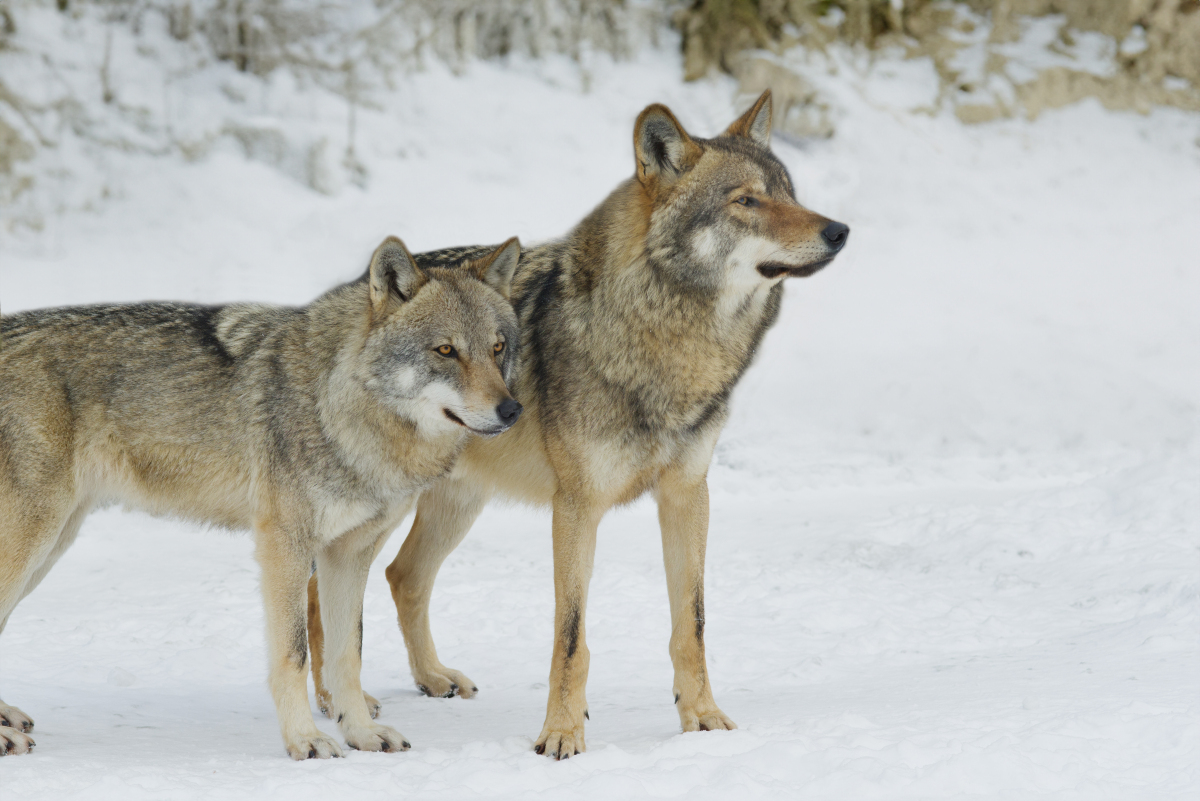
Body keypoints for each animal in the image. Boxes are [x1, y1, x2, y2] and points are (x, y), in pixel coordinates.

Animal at [1, 236, 525, 757]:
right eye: (446, 350)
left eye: (498, 348)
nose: (513, 410)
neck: (336, 404)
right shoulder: (285, 547)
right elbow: (295, 652)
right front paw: (306, 741)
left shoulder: (349, 552)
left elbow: (346, 654)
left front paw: (361, 734)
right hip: (33, 543)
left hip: (50, 547)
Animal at [309, 89, 854, 757]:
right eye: (746, 200)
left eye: (789, 192)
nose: (839, 230)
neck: (668, 344)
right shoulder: (577, 505)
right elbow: (571, 636)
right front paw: (562, 734)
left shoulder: (687, 494)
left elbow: (692, 623)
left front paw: (701, 718)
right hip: (381, 507)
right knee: (322, 595)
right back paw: (336, 701)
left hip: (456, 505)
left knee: (403, 576)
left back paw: (433, 678)